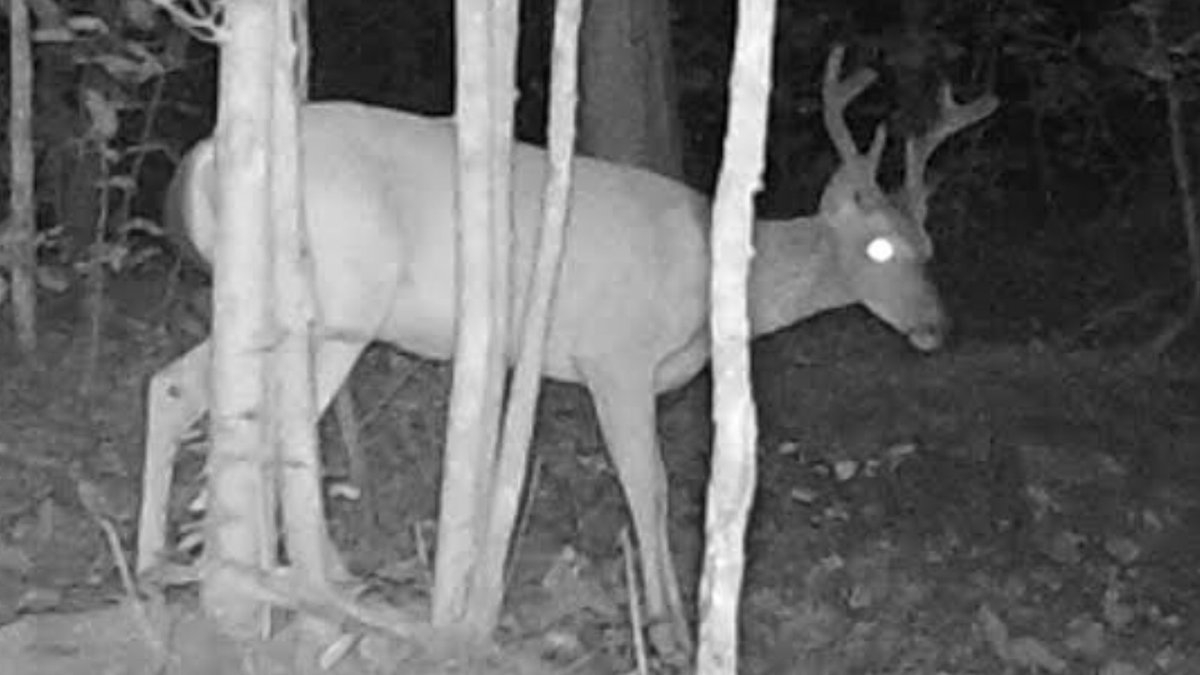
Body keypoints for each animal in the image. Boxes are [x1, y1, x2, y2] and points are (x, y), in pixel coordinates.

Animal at [136, 46, 997, 659]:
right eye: (881, 247)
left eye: (930, 246)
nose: (938, 327)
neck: (707, 273)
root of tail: (208, 153)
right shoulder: (616, 356)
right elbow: (650, 485)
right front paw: (671, 629)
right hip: (343, 297)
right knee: (270, 416)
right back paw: (303, 579)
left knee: (177, 384)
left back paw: (162, 563)